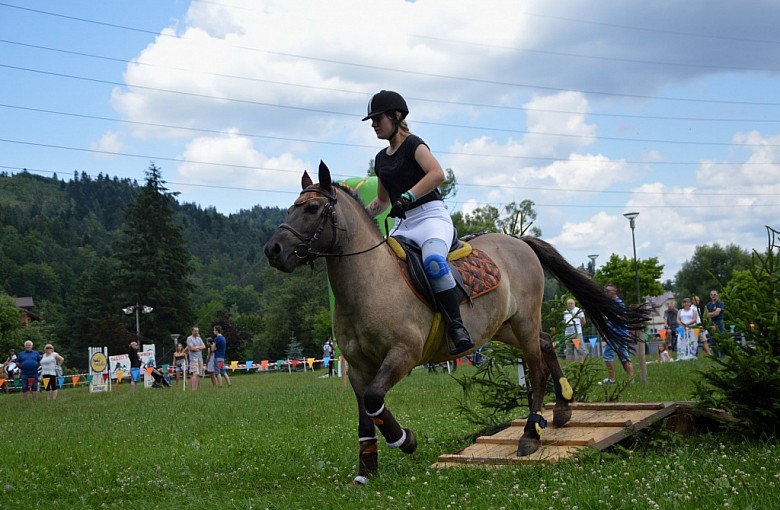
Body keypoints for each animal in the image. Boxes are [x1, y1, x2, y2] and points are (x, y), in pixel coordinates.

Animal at [266, 160, 648, 482]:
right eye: (292, 208)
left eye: (312, 209)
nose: (273, 251)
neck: (370, 282)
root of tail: (519, 241)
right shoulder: (358, 367)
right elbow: (366, 416)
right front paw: (366, 472)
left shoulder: (404, 354)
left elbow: (375, 400)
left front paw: (405, 440)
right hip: (503, 327)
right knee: (545, 343)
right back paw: (564, 408)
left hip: (522, 320)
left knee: (536, 368)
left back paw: (530, 434)